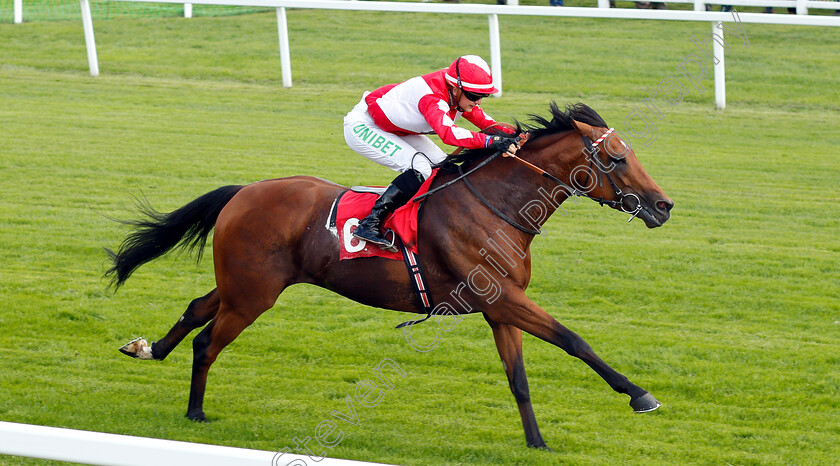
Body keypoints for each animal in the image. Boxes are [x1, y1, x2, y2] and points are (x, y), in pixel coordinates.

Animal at [108, 103, 676, 448]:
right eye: (617, 158)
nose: (663, 206)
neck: (496, 205)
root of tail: (243, 191)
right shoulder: (503, 299)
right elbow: (573, 339)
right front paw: (639, 395)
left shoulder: (499, 306)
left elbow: (518, 377)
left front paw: (535, 441)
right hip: (253, 295)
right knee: (207, 341)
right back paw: (195, 413)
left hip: (242, 284)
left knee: (195, 311)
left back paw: (148, 349)